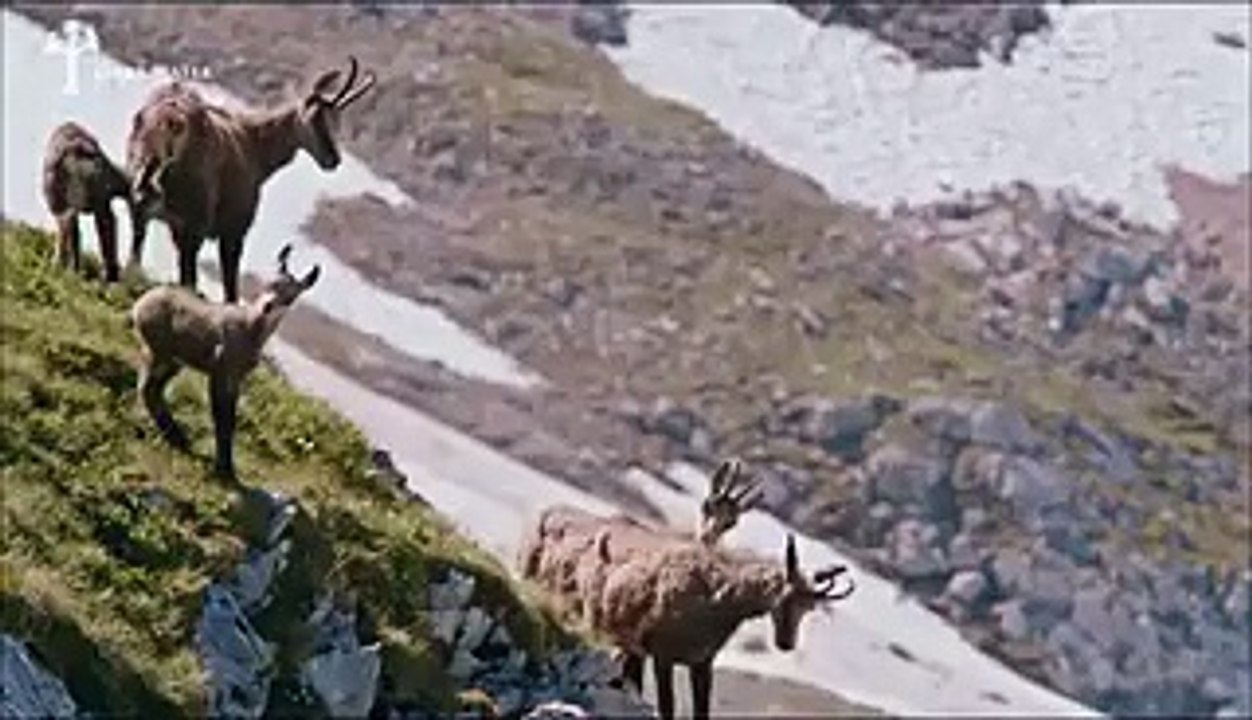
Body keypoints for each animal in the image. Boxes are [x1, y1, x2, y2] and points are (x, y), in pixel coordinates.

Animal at [41, 121, 141, 282]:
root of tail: (72, 150)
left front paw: (75, 272)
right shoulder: (102, 201)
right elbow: (108, 226)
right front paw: (109, 275)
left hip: (57, 199)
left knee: (66, 222)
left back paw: (58, 267)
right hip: (91, 200)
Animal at [126, 56, 374, 303]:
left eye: (337, 122)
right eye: (317, 118)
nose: (333, 160)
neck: (254, 145)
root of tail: (169, 122)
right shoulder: (234, 226)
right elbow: (230, 285)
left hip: (145, 183)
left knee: (139, 233)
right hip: (195, 212)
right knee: (187, 267)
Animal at [130, 244, 320, 479]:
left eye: (290, 297)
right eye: (270, 283)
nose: (267, 306)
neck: (250, 329)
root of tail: (140, 303)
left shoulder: (236, 377)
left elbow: (230, 417)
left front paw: (227, 466)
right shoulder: (220, 371)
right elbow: (223, 418)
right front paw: (224, 468)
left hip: (173, 360)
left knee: (153, 388)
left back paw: (176, 435)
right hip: (160, 351)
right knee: (147, 386)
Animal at [591, 534, 855, 720]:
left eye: (809, 608)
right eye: (786, 596)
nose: (786, 643)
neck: (715, 605)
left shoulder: (702, 663)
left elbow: (702, 711)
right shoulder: (663, 657)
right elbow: (668, 708)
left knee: (627, 675)